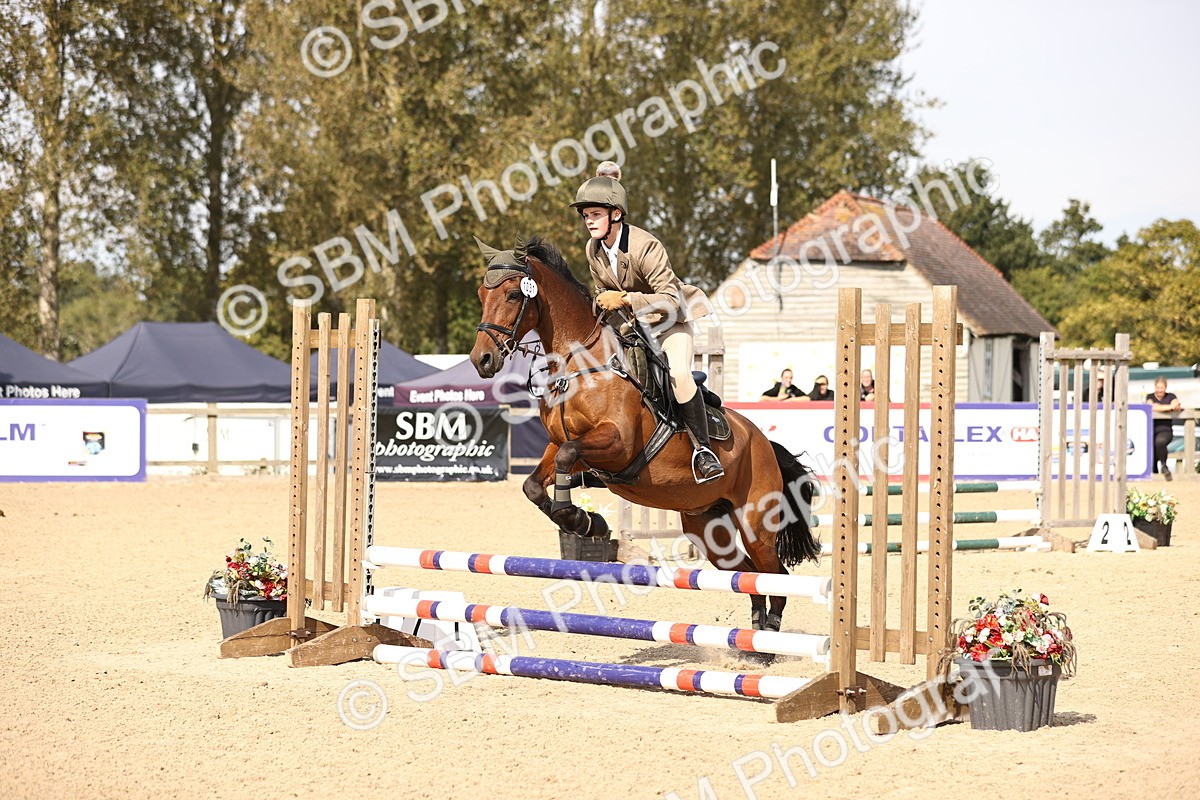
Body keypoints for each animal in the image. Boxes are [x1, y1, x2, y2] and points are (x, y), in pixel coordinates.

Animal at [469, 236, 820, 650]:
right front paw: (587, 523)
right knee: (746, 576)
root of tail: (764, 442)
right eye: (481, 294)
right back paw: (750, 644)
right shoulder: (559, 444)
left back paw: (767, 646)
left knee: (773, 576)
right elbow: (534, 483)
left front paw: (582, 520)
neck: (581, 363)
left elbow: (568, 459)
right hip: (707, 527)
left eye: (512, 294)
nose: (481, 360)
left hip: (756, 524)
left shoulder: (616, 444)